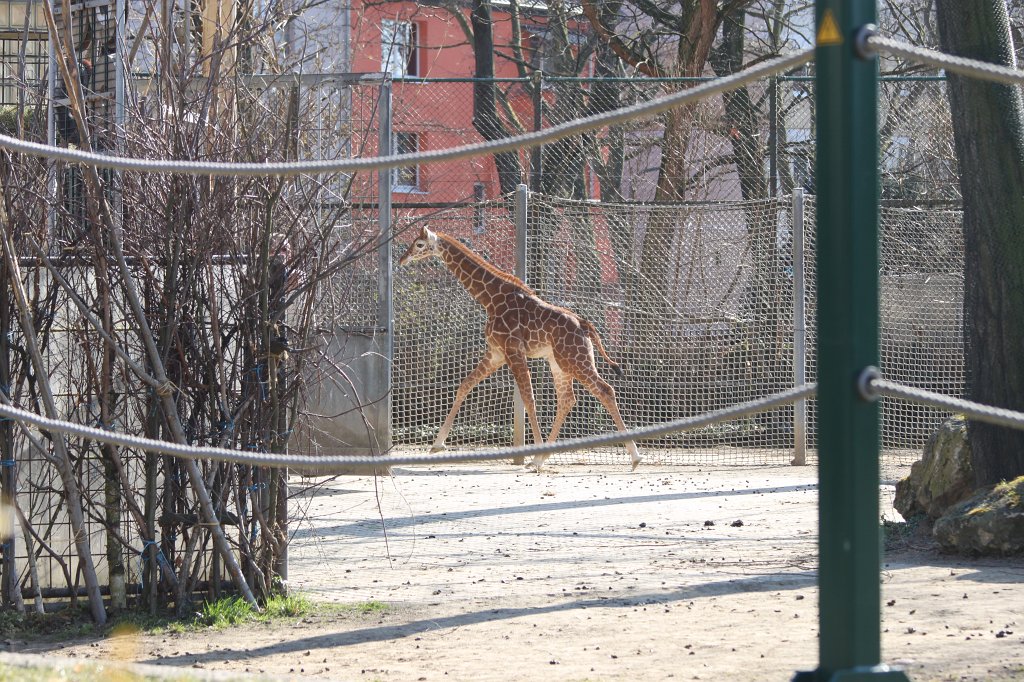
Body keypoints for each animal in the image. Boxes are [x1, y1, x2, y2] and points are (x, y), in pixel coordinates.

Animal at [399, 225, 642, 471]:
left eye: (419, 244)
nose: (402, 259)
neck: (491, 299)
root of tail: (584, 325)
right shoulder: (496, 353)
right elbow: (465, 385)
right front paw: (437, 445)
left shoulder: (512, 351)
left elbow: (528, 399)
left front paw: (534, 454)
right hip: (559, 362)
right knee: (567, 399)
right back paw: (544, 458)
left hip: (574, 360)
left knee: (605, 390)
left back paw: (635, 457)